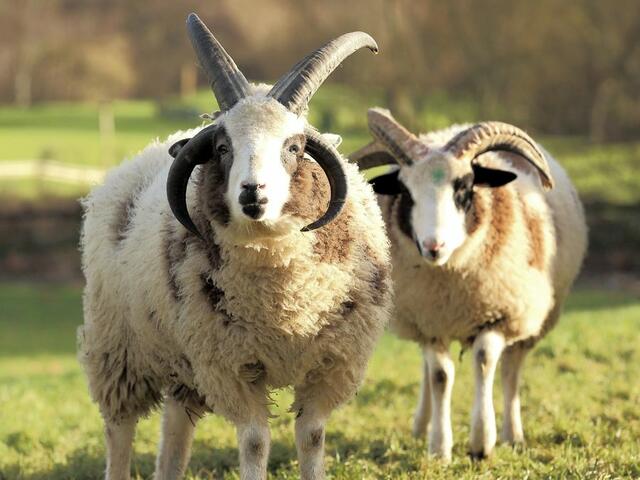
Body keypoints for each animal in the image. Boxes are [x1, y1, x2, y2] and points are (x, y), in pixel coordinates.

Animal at [78, 14, 391, 480]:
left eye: (294, 147)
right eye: (223, 148)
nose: (252, 193)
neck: (283, 303)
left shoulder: (331, 364)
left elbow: (312, 436)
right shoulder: (231, 367)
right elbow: (256, 441)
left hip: (182, 359)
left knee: (175, 429)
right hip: (118, 348)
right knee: (119, 429)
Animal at [350, 108, 587, 460]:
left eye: (464, 188)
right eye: (406, 193)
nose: (433, 246)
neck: (451, 282)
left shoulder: (498, 314)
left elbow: (485, 362)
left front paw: (481, 443)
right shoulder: (430, 321)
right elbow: (439, 376)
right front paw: (439, 447)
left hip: (531, 315)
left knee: (511, 370)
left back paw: (513, 434)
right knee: (429, 371)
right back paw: (421, 426)